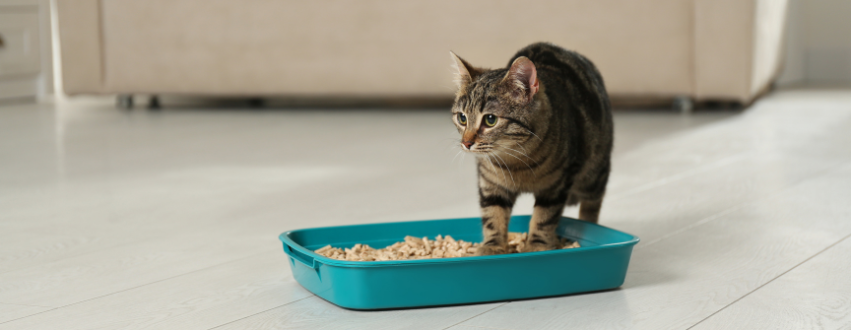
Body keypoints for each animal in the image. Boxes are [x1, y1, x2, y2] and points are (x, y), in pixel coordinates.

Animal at [450, 42, 616, 255]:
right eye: (462, 118)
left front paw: (537, 246)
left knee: (592, 204)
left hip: (593, 174)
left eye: (490, 120)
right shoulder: (490, 183)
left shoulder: (557, 185)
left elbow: (544, 217)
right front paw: (492, 246)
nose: (466, 143)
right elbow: (493, 216)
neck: (516, 162)